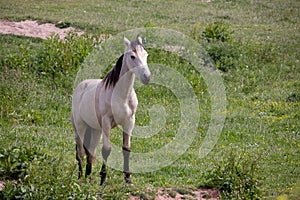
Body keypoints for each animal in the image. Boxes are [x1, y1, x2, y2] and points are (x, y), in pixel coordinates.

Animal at [70, 35, 150, 185]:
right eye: (132, 56)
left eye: (146, 55)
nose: (146, 77)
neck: (121, 96)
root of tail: (81, 86)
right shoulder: (107, 121)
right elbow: (106, 149)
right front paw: (103, 179)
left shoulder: (129, 122)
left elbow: (126, 149)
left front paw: (128, 179)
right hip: (79, 127)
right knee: (81, 153)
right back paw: (80, 178)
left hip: (95, 130)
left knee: (91, 151)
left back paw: (88, 177)